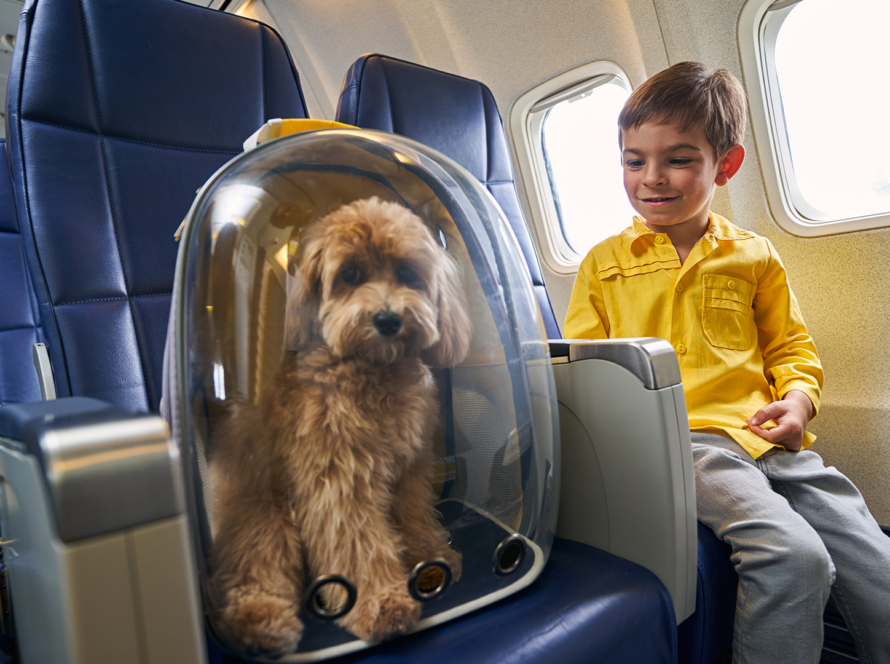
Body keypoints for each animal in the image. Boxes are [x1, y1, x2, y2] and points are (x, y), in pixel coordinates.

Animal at [209, 197, 472, 652]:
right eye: (350, 275)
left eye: (408, 273)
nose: (388, 319)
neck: (373, 370)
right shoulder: (339, 480)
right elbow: (357, 544)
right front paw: (382, 604)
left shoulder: (410, 469)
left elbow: (414, 516)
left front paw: (428, 561)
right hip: (265, 513)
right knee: (255, 571)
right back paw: (260, 622)